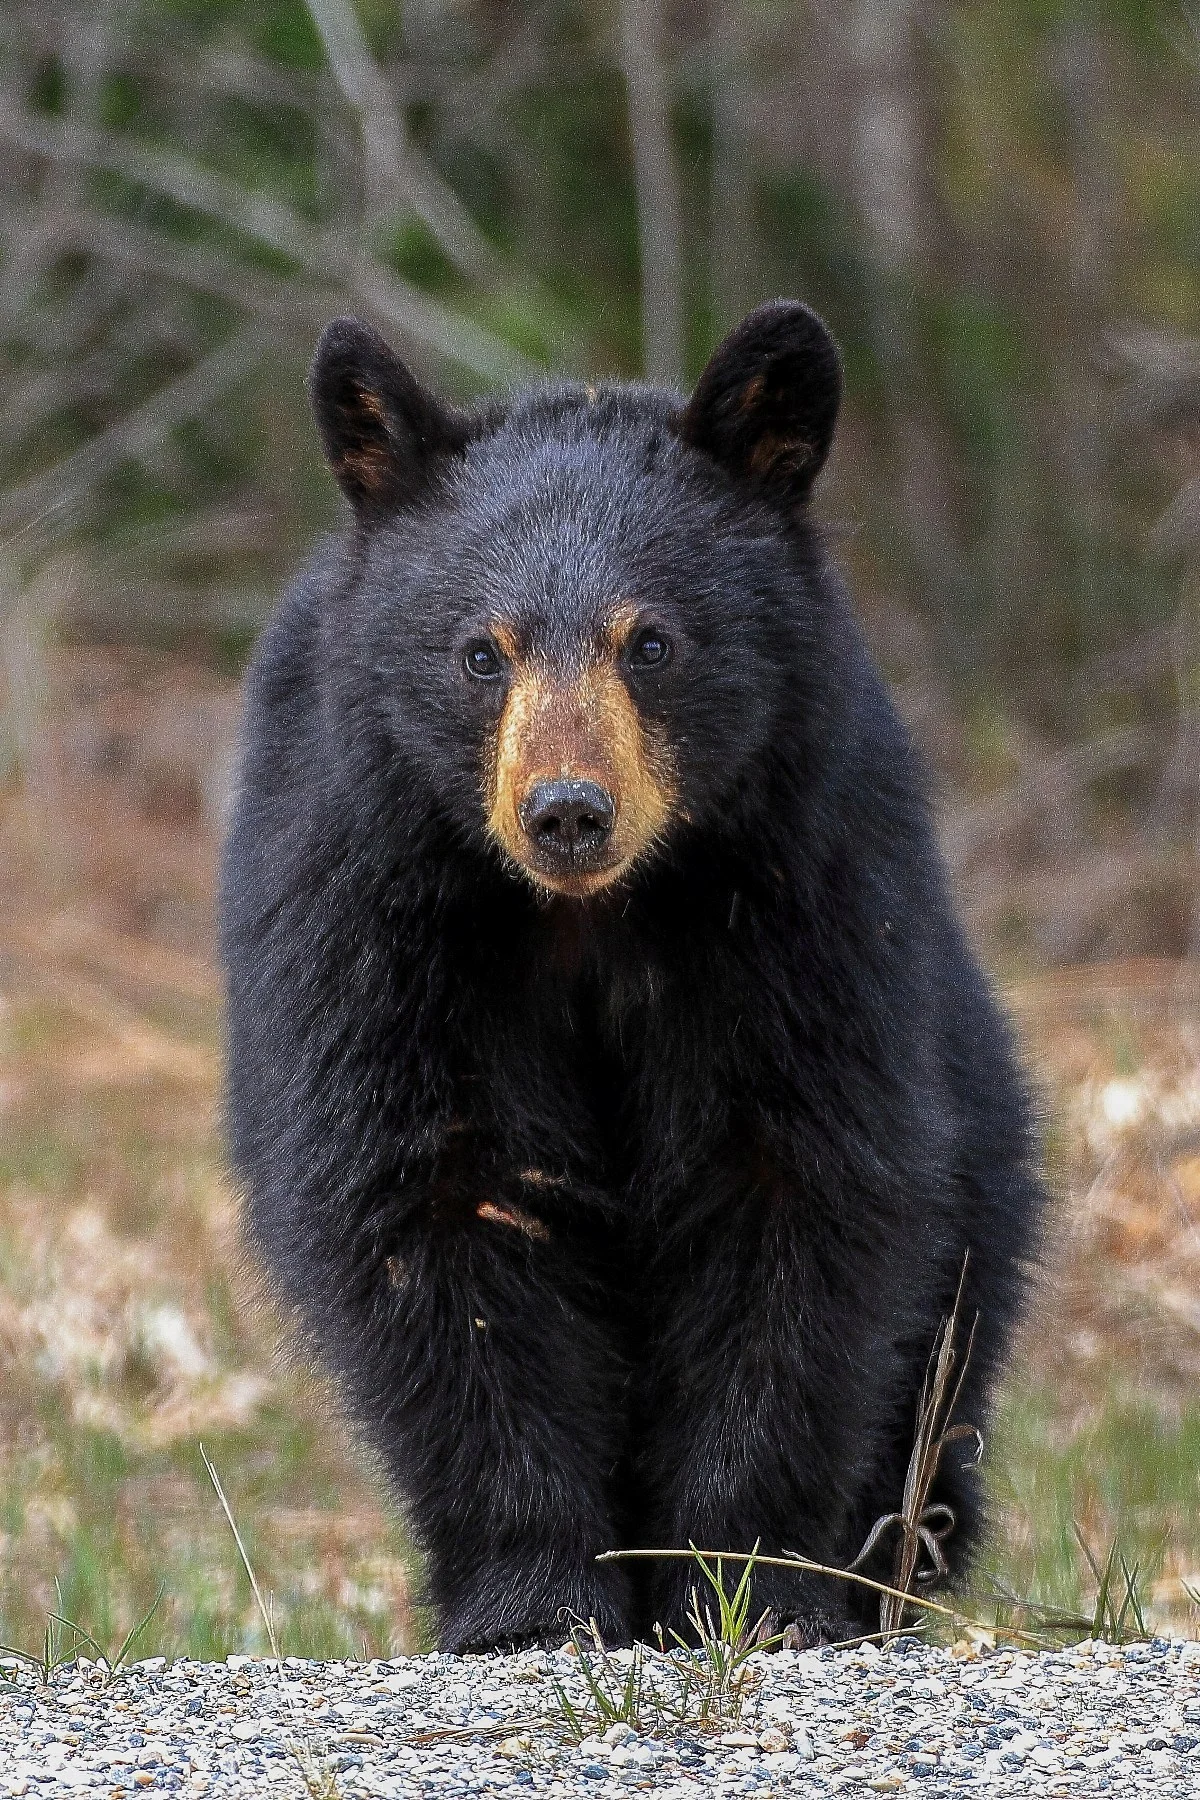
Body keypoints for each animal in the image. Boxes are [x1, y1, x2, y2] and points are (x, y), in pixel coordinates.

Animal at [219, 300, 1046, 1654]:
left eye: (649, 641)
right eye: (481, 653)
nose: (566, 812)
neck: (589, 919)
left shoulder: (803, 892)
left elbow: (795, 1192)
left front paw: (739, 1587)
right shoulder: (372, 903)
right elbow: (437, 1202)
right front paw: (537, 1598)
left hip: (986, 1182)